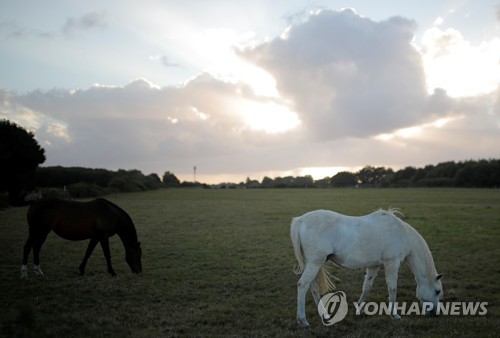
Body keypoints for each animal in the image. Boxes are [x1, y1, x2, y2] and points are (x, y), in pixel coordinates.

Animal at [292, 207, 444, 326]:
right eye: (437, 291)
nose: (434, 313)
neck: (401, 233)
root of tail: (301, 220)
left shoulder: (374, 265)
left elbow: (367, 287)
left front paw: (360, 309)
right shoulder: (392, 263)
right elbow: (392, 288)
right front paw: (395, 315)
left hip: (313, 264)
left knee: (313, 287)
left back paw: (324, 313)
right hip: (315, 263)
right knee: (303, 285)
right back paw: (303, 320)